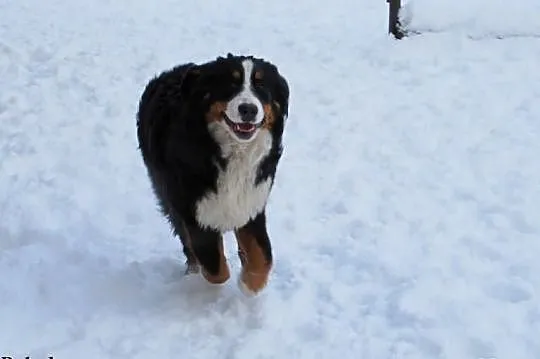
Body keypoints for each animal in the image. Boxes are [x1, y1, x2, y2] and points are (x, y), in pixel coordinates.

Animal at [137, 53, 292, 296]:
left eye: (261, 85)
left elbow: (263, 255)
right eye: (231, 83)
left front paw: (249, 284)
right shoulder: (195, 211)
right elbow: (215, 266)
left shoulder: (250, 203)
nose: (248, 109)